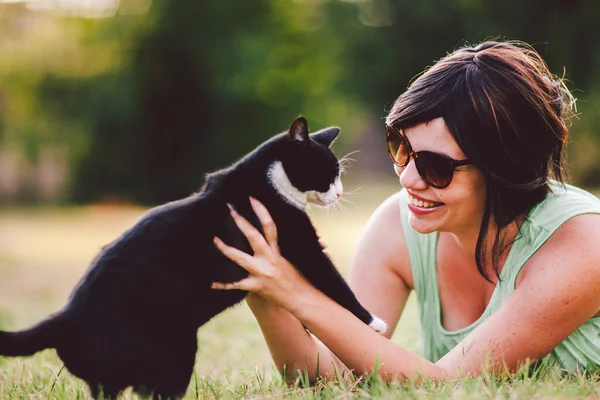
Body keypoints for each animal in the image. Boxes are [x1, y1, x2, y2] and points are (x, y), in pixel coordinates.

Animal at [0, 117, 384, 398]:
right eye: (329, 172)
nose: (340, 193)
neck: (266, 180)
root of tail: (64, 318)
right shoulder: (300, 242)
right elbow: (332, 282)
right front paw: (371, 322)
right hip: (176, 353)